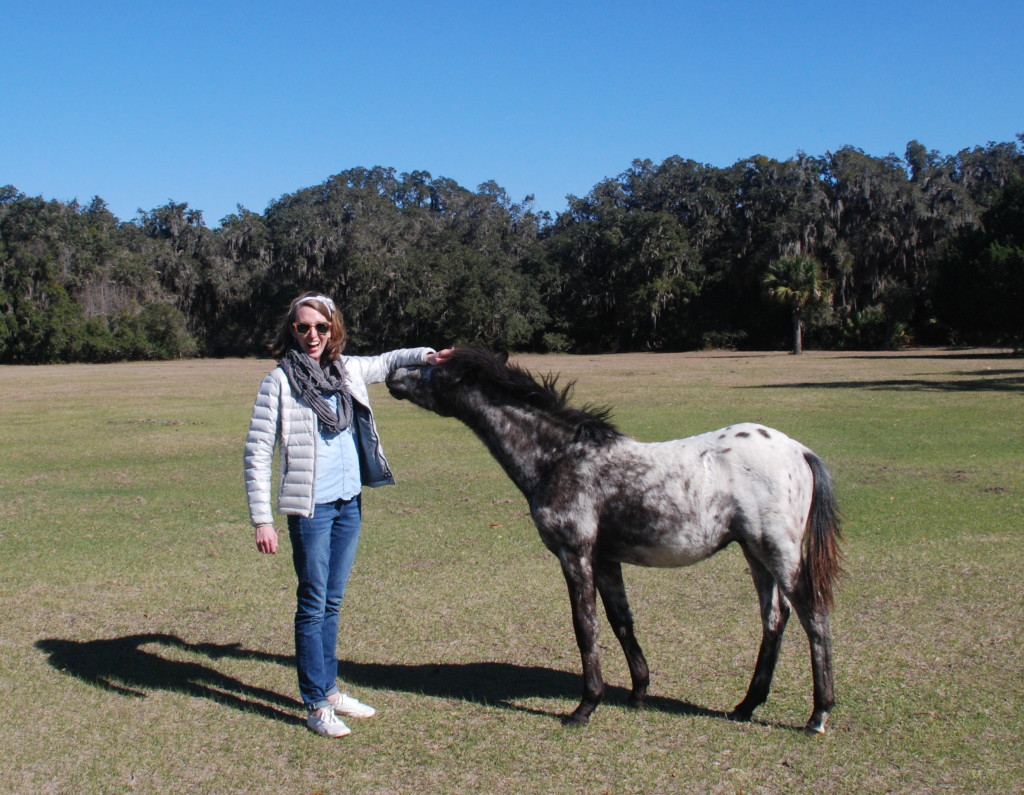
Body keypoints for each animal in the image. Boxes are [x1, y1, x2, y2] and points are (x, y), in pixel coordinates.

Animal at [387, 348, 843, 733]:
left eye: (437, 370)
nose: (394, 375)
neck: (560, 457)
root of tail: (799, 450)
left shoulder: (575, 554)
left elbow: (584, 625)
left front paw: (585, 706)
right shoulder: (606, 559)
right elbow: (620, 621)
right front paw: (638, 693)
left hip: (778, 551)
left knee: (812, 614)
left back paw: (817, 715)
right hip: (754, 553)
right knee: (775, 617)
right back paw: (746, 705)